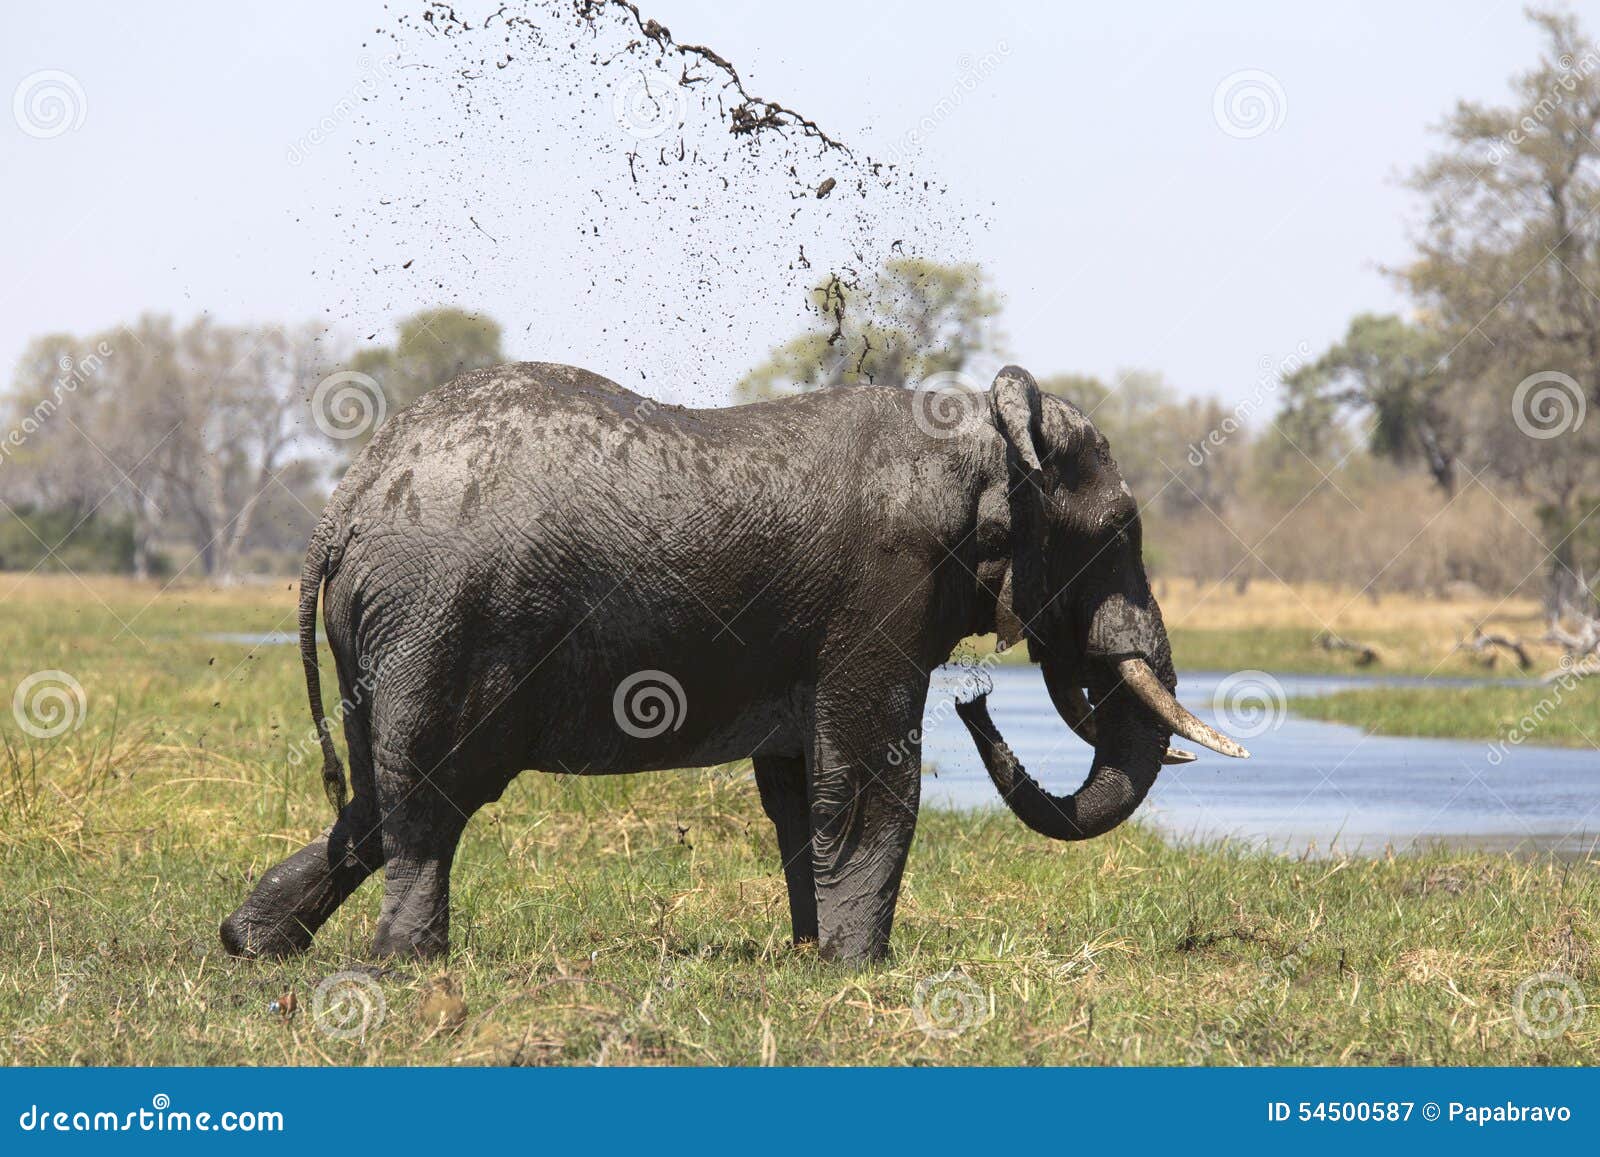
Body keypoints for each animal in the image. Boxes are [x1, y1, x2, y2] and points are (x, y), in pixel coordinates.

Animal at [222, 366, 1248, 966]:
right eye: (1118, 532)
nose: (981, 701)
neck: (975, 429)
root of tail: (345, 503)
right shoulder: (882, 589)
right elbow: (870, 781)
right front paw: (858, 970)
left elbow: (798, 790)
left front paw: (809, 956)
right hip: (442, 618)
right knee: (432, 793)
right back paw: (409, 965)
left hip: (390, 632)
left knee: (377, 794)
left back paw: (253, 943)